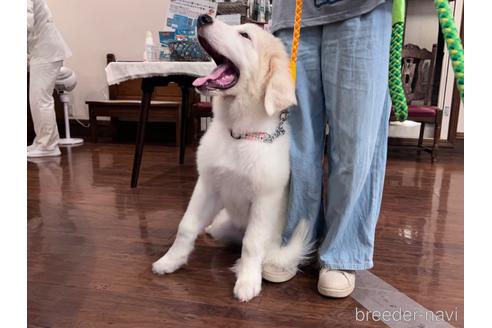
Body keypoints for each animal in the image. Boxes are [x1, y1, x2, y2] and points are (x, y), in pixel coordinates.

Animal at [152, 15, 310, 302]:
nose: (203, 18)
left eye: (245, 35)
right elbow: (186, 226)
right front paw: (170, 261)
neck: (239, 135)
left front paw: (247, 282)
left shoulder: (264, 199)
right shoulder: (207, 185)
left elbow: (251, 244)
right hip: (223, 223)